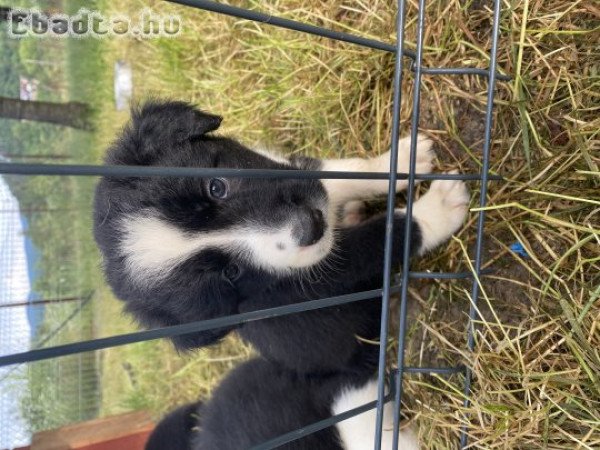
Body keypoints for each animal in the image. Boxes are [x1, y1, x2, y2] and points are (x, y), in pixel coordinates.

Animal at [92, 100, 468, 374]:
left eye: (217, 187)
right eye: (231, 273)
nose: (310, 225)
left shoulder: (298, 174)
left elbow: (347, 173)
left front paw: (401, 159)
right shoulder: (316, 277)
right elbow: (384, 236)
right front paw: (438, 209)